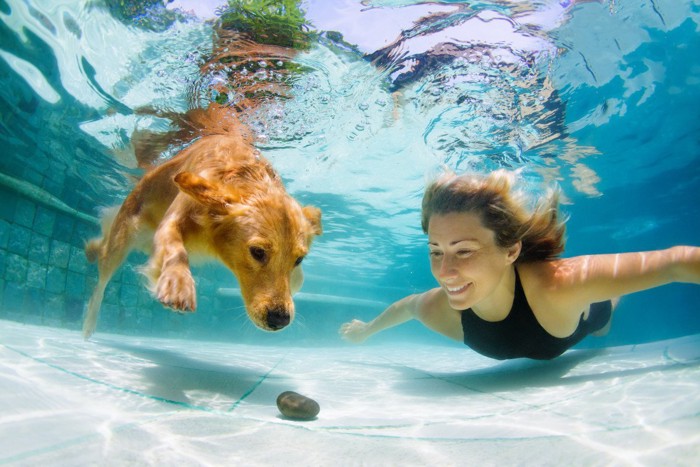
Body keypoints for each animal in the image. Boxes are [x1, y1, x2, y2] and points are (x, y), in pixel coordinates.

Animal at [84, 104, 322, 338]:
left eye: (299, 259)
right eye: (257, 252)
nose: (280, 319)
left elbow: (298, 279)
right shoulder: (175, 216)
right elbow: (175, 246)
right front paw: (178, 285)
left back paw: (91, 249)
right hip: (125, 235)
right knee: (103, 272)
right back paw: (89, 322)